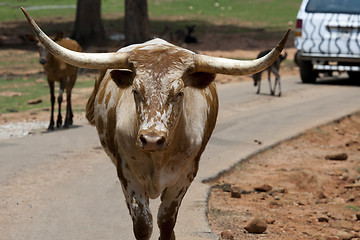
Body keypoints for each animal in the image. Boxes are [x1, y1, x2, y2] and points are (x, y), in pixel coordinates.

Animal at [21, 7, 290, 240]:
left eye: (179, 92)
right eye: (135, 90)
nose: (151, 139)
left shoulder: (185, 175)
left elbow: (166, 222)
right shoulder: (127, 174)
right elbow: (143, 224)